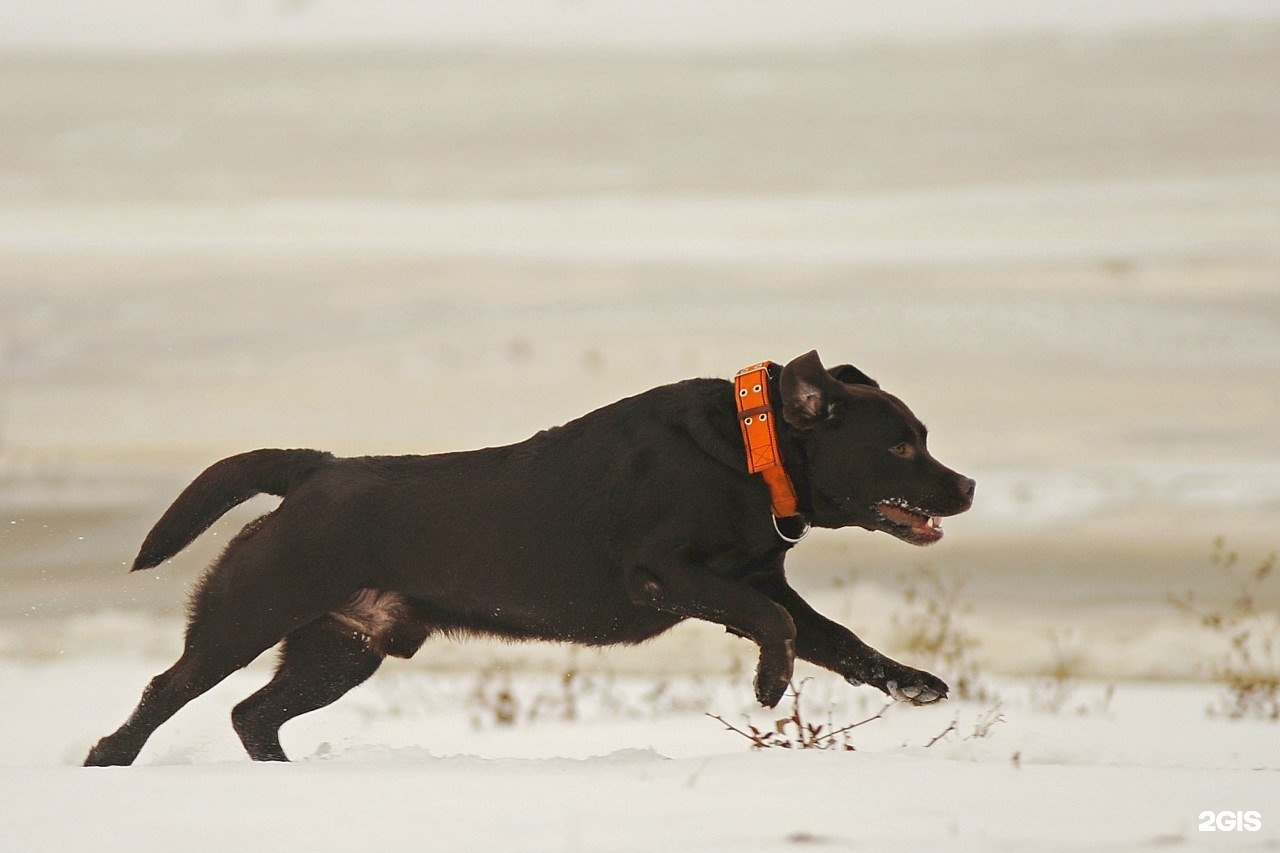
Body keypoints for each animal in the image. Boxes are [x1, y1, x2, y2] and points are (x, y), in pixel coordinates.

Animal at [85, 348, 972, 758]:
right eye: (899, 446)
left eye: (925, 436)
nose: (965, 484)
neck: (748, 456)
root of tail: (315, 470)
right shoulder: (664, 574)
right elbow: (774, 627)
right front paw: (768, 685)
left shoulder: (762, 583)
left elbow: (840, 639)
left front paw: (917, 683)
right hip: (248, 614)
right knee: (166, 692)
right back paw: (108, 761)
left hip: (342, 648)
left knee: (252, 713)